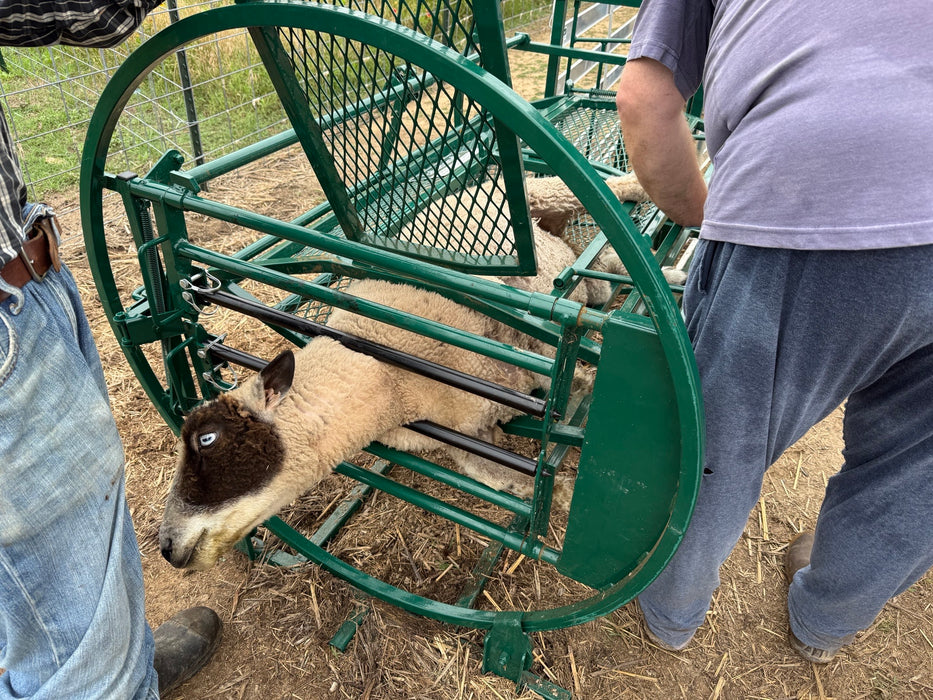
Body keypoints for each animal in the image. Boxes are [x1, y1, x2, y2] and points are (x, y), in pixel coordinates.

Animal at [159, 173, 679, 570]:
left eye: (207, 438)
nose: (165, 547)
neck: (389, 375)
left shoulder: (526, 349)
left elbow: (583, 390)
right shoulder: (467, 433)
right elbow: (503, 479)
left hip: (545, 204)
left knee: (605, 213)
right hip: (561, 249)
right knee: (600, 272)